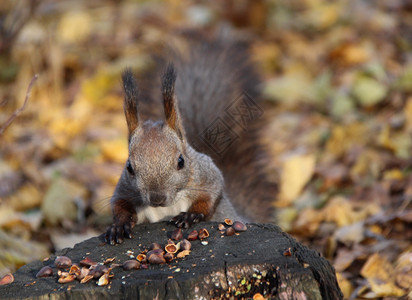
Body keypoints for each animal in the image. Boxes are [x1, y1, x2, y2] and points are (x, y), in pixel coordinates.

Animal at [104, 36, 276, 245]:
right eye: (129, 167)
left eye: (181, 161)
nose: (156, 198)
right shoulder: (125, 188)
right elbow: (119, 204)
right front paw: (119, 225)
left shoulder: (207, 175)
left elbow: (210, 195)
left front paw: (191, 215)